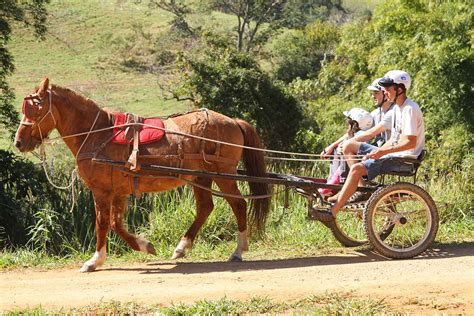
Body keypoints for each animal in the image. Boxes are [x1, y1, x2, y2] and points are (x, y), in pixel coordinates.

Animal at [13, 77, 270, 272]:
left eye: (37, 110)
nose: (18, 142)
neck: (97, 133)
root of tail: (232, 121)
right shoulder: (119, 192)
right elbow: (116, 223)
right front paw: (143, 245)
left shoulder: (102, 191)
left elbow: (102, 223)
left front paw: (95, 260)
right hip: (201, 177)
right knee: (206, 208)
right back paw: (182, 246)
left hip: (223, 174)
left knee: (238, 205)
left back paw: (238, 250)